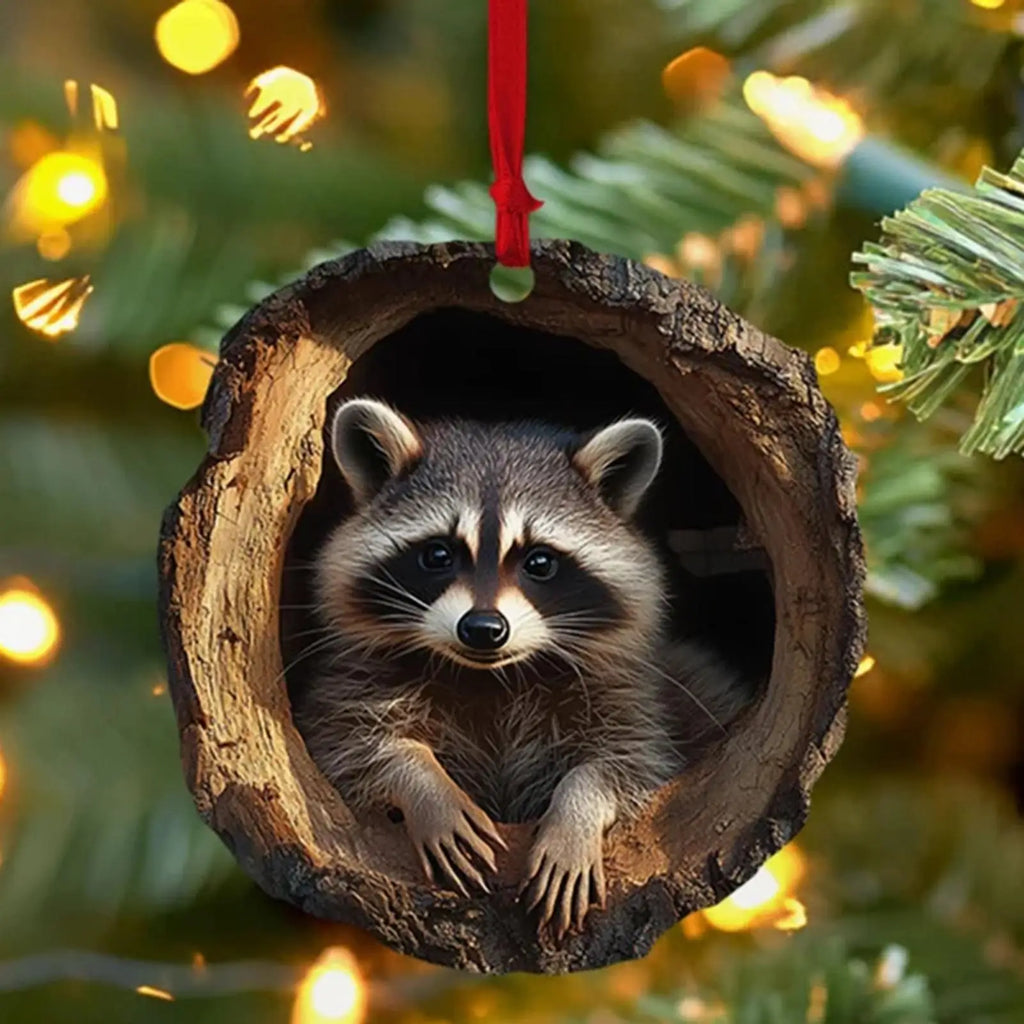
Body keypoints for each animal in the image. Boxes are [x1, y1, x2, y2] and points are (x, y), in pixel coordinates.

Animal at [293, 397, 751, 938]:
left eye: (539, 562)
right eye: (438, 554)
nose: (483, 628)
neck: (492, 675)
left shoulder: (628, 694)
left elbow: (631, 763)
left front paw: (576, 813)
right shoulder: (355, 681)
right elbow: (348, 743)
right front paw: (424, 784)